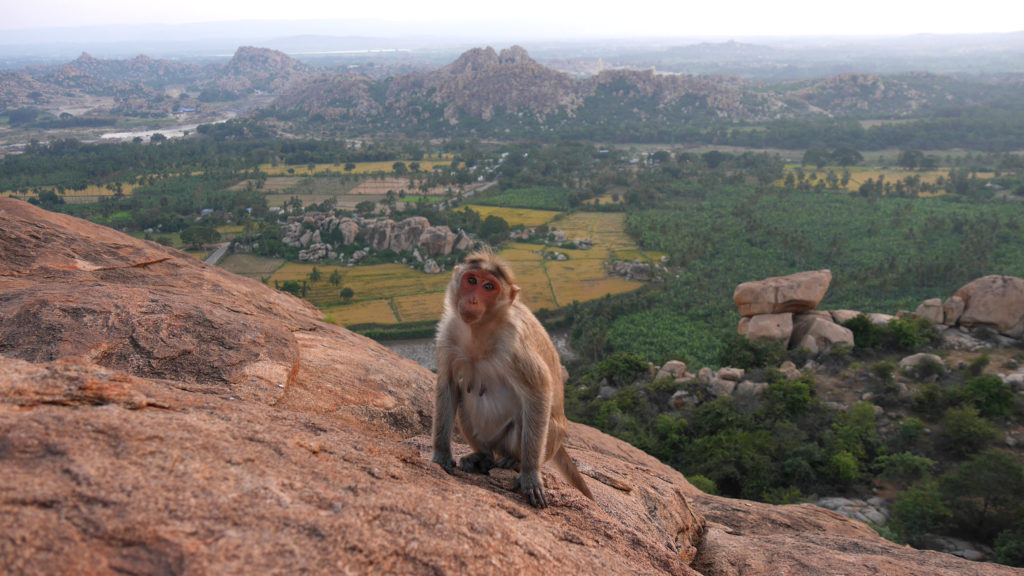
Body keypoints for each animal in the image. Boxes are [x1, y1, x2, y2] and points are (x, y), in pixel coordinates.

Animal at [430, 248, 593, 506]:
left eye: (489, 287)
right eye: (471, 281)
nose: (473, 300)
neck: (479, 329)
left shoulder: (514, 342)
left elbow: (539, 391)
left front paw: (530, 475)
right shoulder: (447, 332)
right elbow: (448, 385)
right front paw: (442, 453)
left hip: (538, 439)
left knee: (531, 418)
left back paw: (514, 460)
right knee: (463, 403)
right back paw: (482, 458)